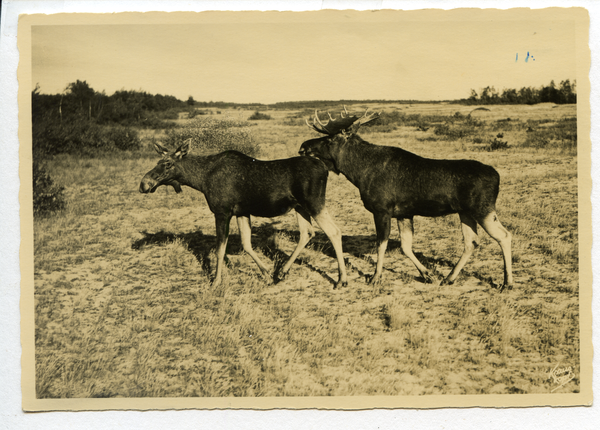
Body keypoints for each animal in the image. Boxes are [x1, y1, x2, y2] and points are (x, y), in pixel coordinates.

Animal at [139, 141, 346, 288]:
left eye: (167, 163)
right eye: (158, 162)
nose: (143, 184)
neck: (201, 180)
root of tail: (325, 169)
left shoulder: (222, 212)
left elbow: (220, 249)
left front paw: (215, 282)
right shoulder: (242, 212)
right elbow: (246, 244)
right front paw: (267, 274)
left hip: (314, 202)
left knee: (334, 231)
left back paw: (341, 279)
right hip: (300, 207)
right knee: (307, 233)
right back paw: (282, 272)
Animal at [298, 107, 512, 292]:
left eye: (329, 139)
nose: (303, 147)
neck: (358, 173)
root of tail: (497, 176)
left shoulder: (382, 209)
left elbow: (382, 244)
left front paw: (375, 277)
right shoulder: (404, 213)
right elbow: (405, 247)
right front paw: (427, 274)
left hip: (483, 208)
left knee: (504, 235)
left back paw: (507, 283)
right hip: (466, 212)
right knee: (472, 241)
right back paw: (449, 278)